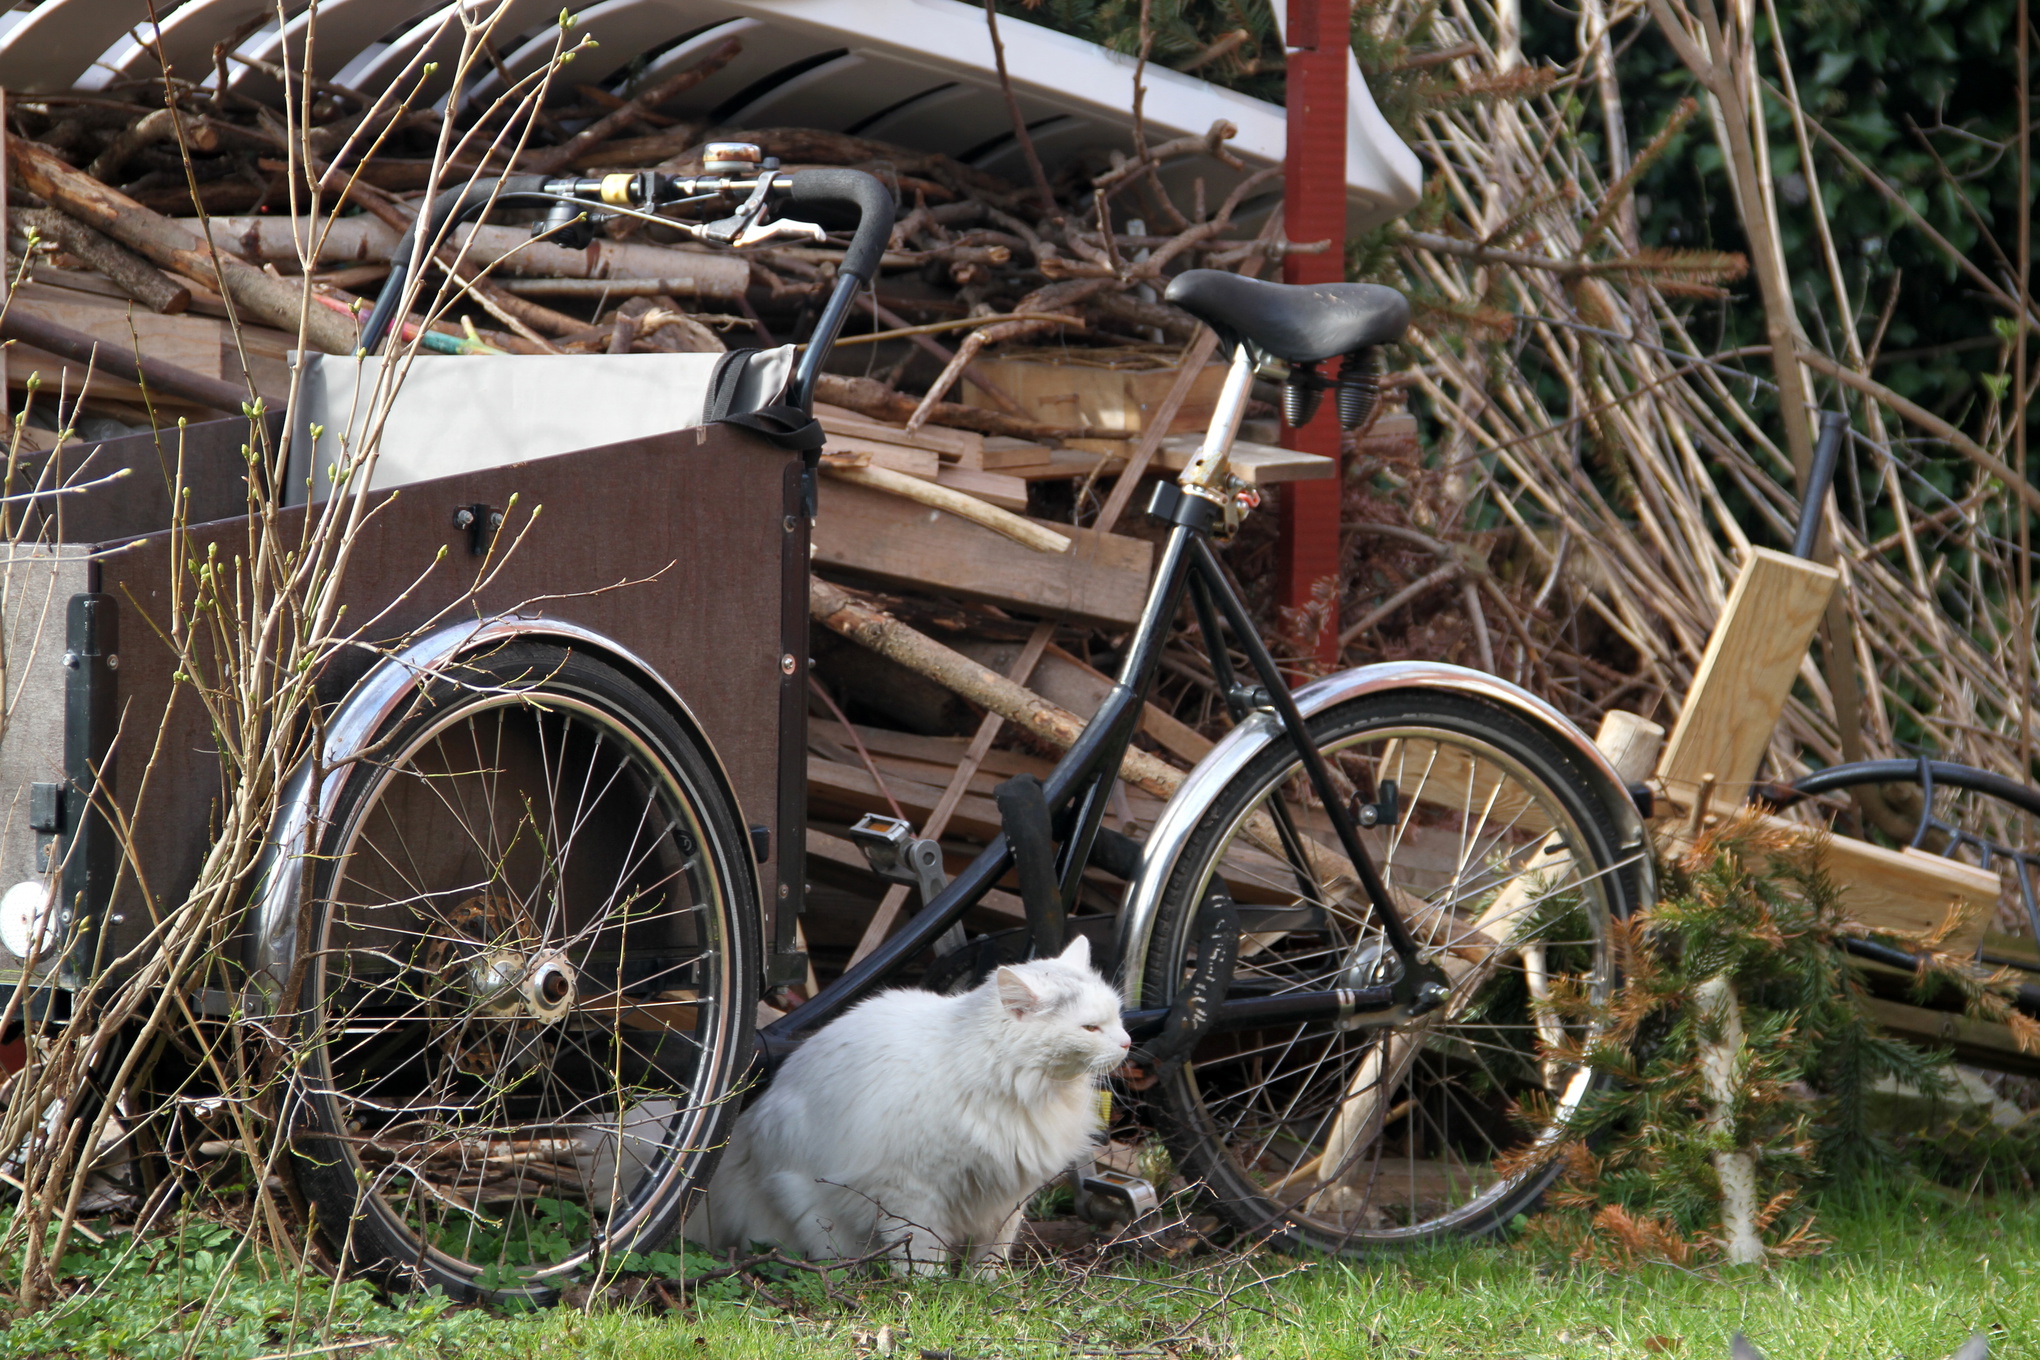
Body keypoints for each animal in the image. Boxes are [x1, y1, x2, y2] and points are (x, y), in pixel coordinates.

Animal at [693, 937, 1126, 1280]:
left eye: (1118, 1016)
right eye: (1090, 1028)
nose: (1127, 1041)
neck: (1030, 1090)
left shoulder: (1008, 1196)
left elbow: (993, 1251)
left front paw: (987, 1287)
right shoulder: (911, 1189)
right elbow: (920, 1248)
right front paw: (930, 1292)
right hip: (812, 1204)